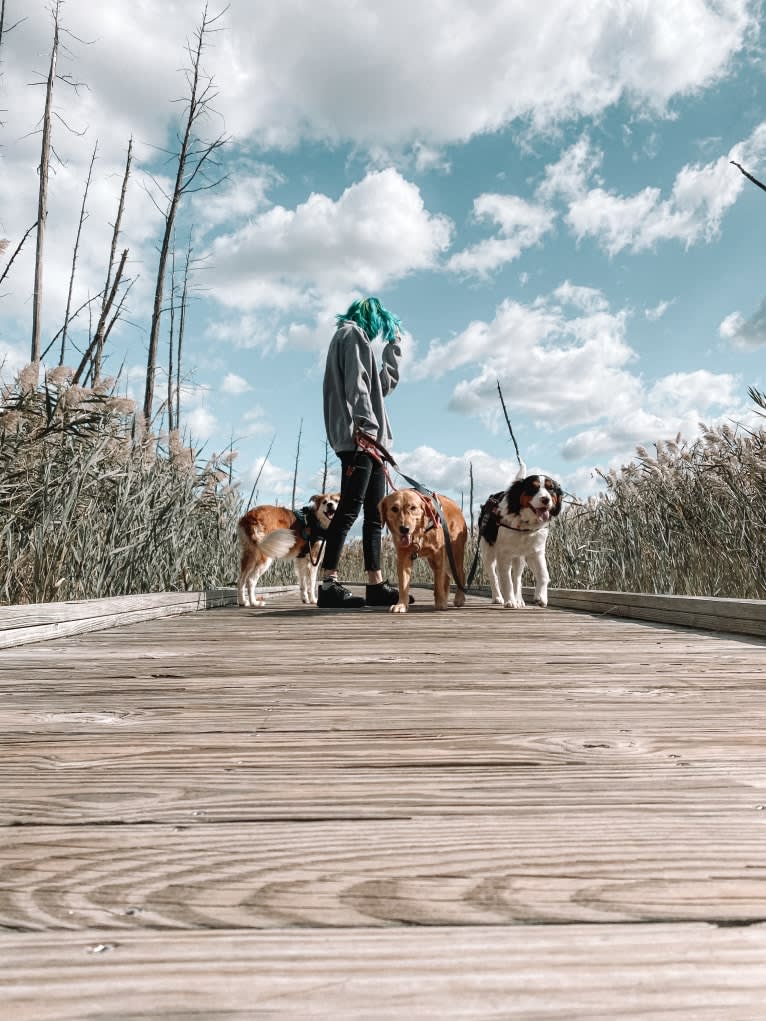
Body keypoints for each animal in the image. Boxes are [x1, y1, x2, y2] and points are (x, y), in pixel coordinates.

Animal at [480, 467, 563, 608]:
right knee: (493, 575)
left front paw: (541, 597)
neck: (525, 525)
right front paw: (509, 601)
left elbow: (543, 574)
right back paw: (498, 597)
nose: (546, 499)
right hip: (488, 552)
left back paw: (518, 599)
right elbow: (505, 579)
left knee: (517, 578)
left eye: (550, 489)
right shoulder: (503, 554)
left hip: (519, 558)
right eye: (533, 488)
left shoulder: (536, 551)